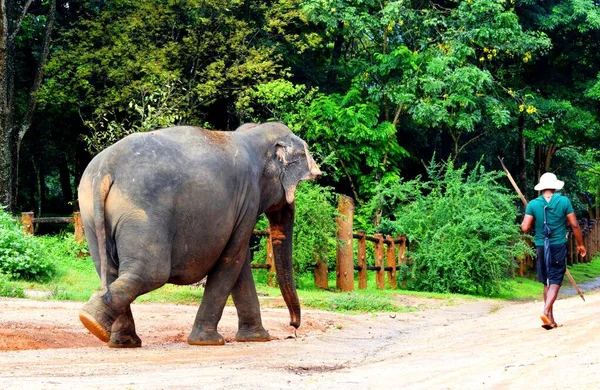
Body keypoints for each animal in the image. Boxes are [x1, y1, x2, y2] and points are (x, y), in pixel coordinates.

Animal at [77, 122, 322, 348]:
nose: (294, 327)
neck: (251, 133)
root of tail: (106, 168)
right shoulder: (248, 200)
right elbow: (232, 260)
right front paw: (209, 342)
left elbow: (238, 264)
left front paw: (257, 338)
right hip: (142, 211)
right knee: (150, 272)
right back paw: (92, 321)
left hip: (90, 214)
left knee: (109, 271)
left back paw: (118, 338)